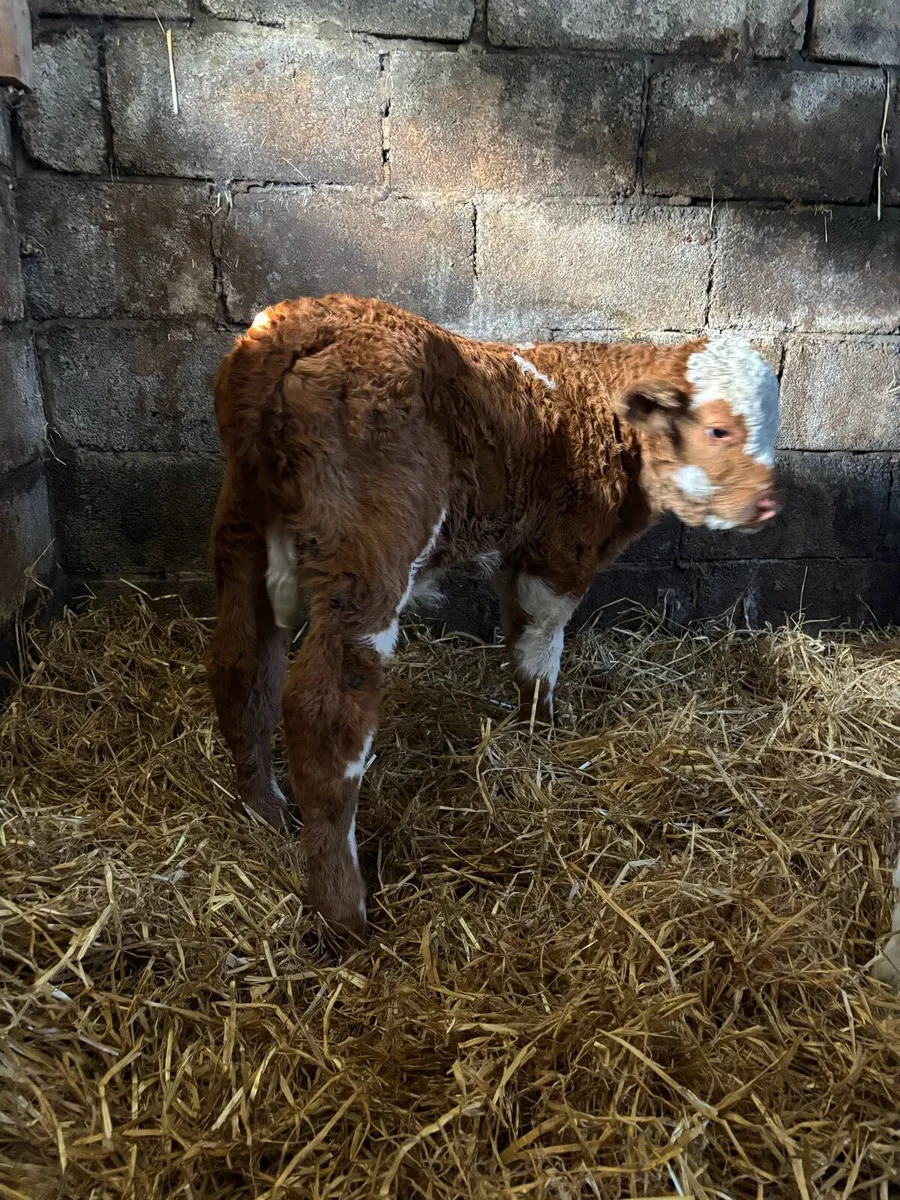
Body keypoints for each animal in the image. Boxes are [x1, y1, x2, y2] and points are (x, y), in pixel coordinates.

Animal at [206, 294, 781, 938]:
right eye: (718, 429)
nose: (768, 504)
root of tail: (299, 324)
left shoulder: (521, 548)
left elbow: (520, 633)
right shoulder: (561, 550)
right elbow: (542, 641)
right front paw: (543, 728)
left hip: (242, 528)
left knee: (241, 666)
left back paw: (265, 809)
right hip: (369, 555)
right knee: (324, 713)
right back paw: (344, 909)